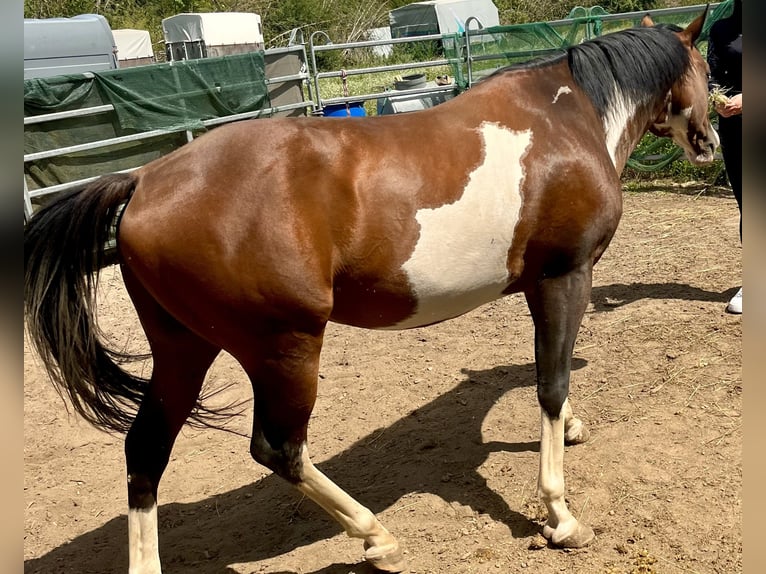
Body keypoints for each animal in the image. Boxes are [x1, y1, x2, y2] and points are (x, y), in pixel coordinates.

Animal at [24, 10, 717, 573]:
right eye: (706, 66)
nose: (709, 142)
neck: (566, 117)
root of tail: (143, 180)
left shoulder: (539, 286)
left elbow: (554, 369)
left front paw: (571, 429)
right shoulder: (565, 276)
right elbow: (550, 383)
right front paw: (560, 515)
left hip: (184, 348)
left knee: (146, 451)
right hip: (284, 347)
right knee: (278, 449)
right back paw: (377, 536)